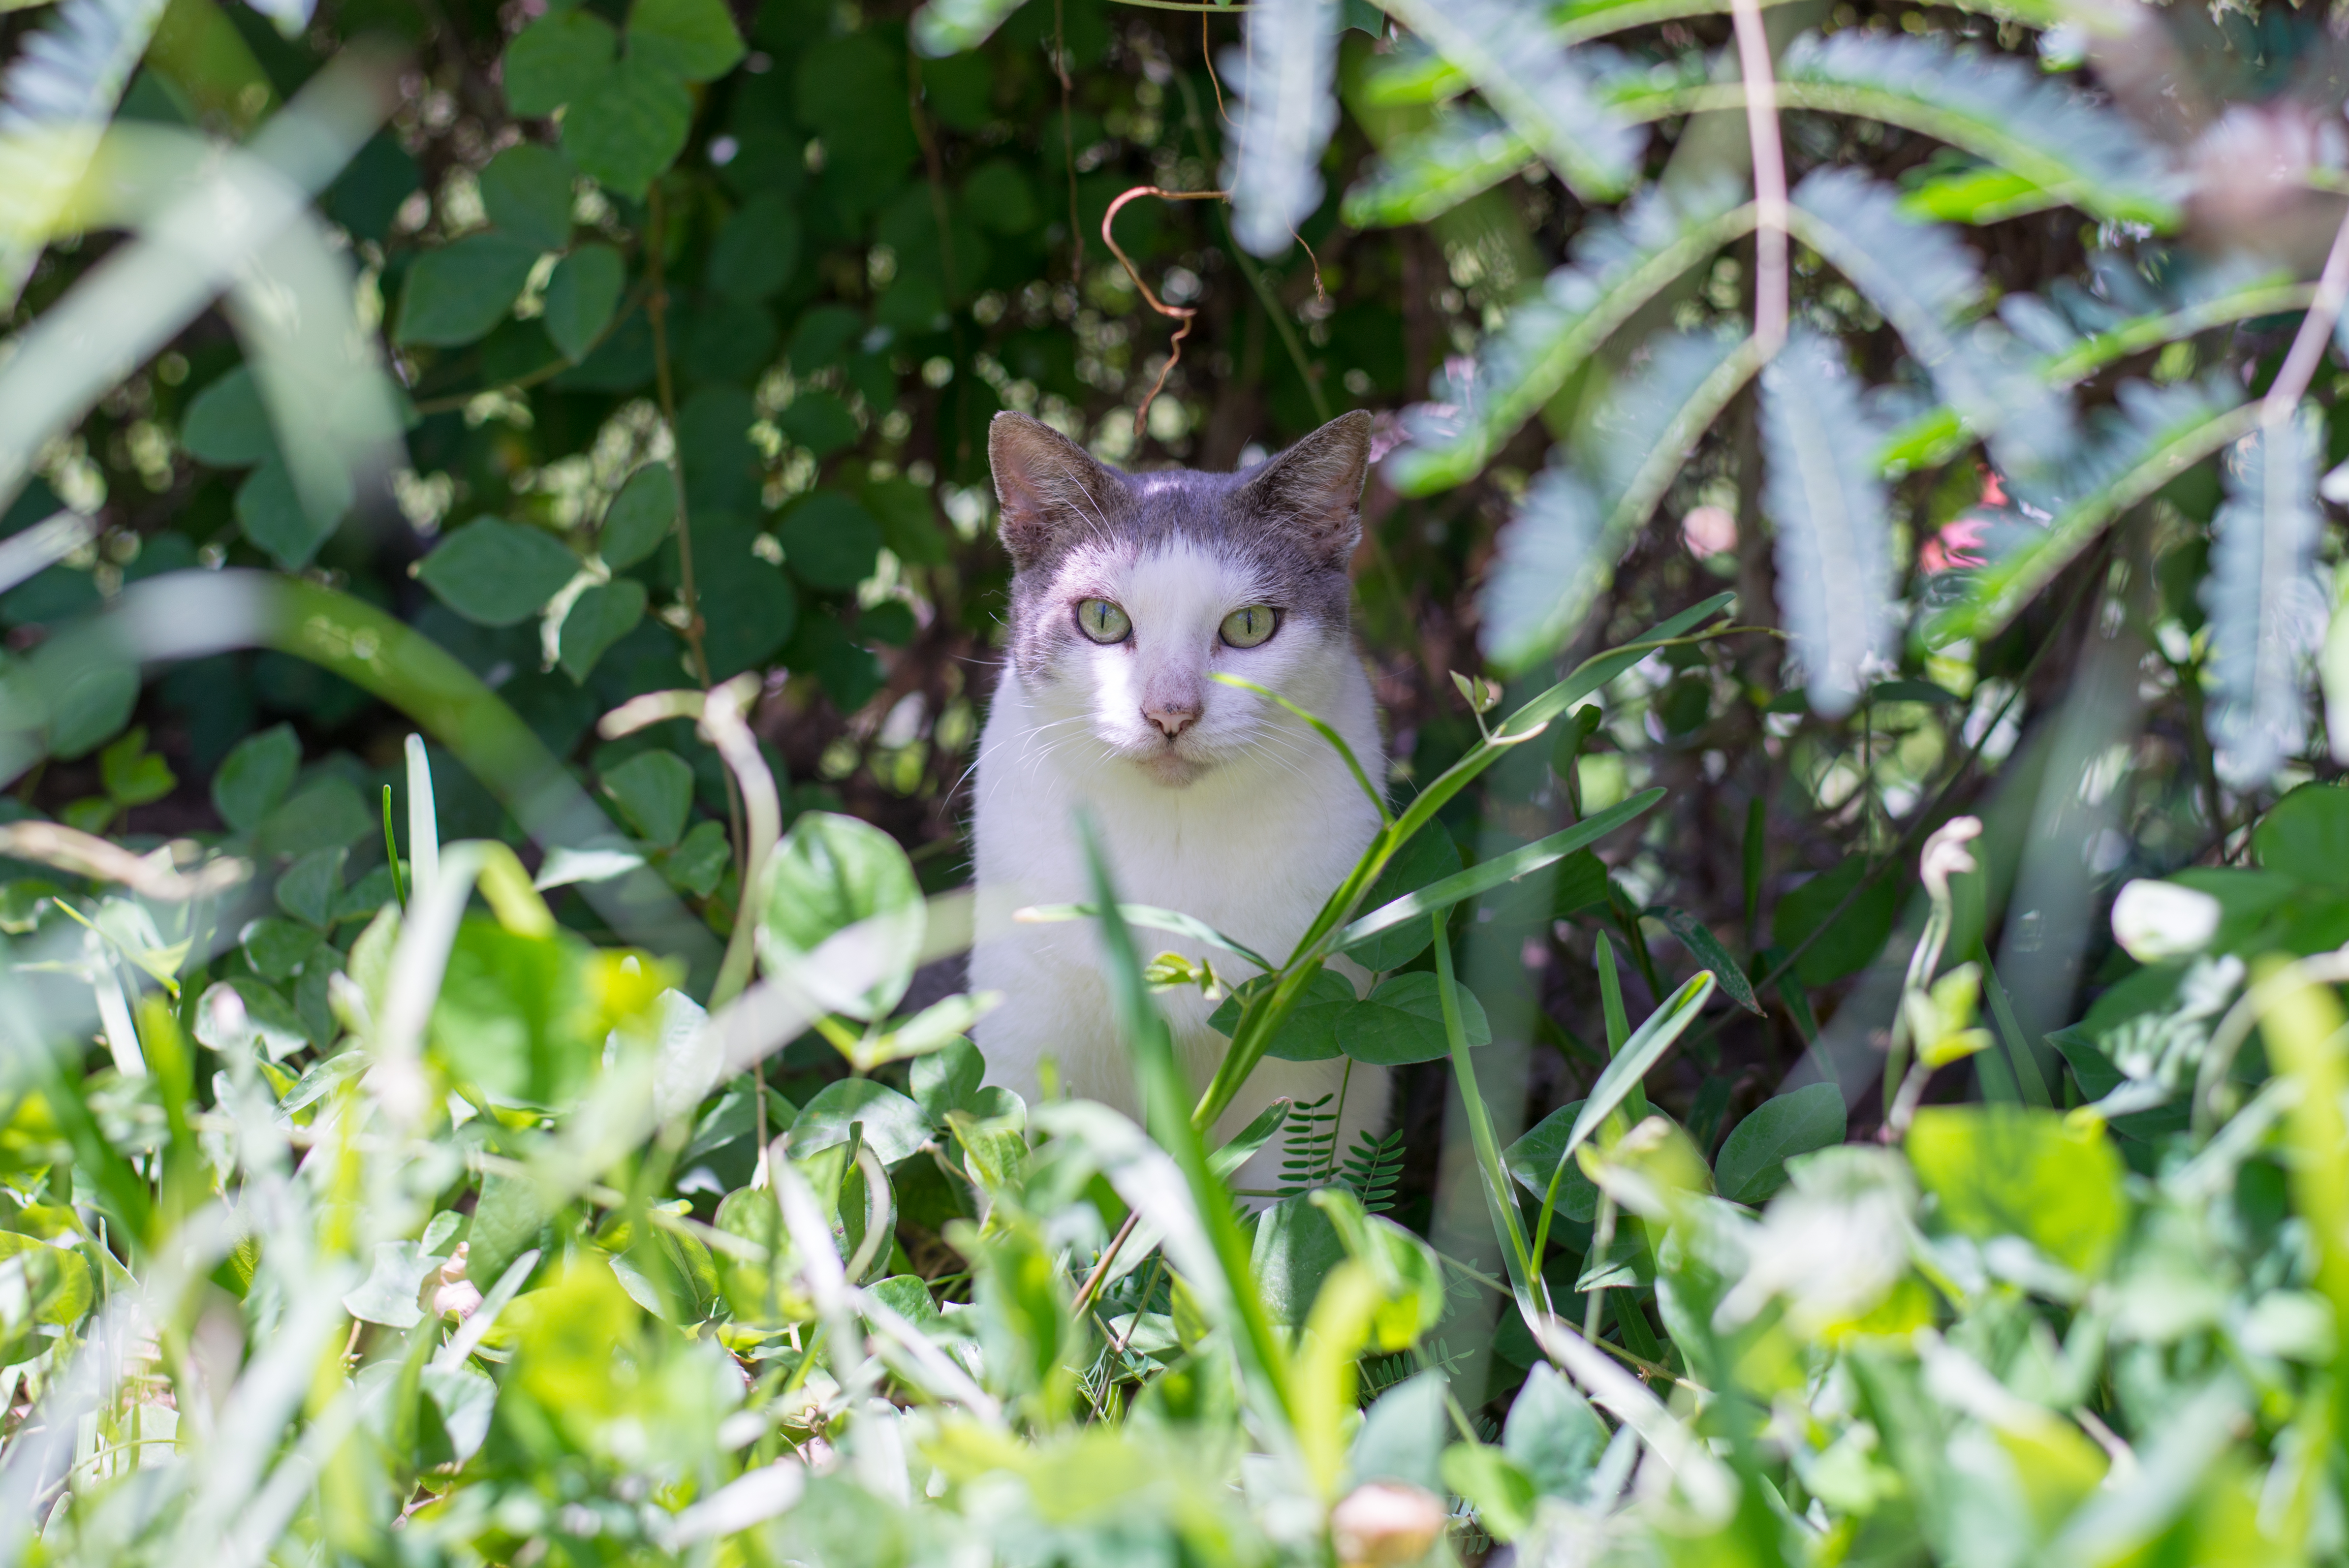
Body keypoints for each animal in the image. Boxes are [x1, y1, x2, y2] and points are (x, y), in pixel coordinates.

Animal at [963, 410, 1381, 1192]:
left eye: (1249, 626)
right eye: (1102, 619)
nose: (1170, 712)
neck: (1175, 835)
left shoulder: (1304, 1055)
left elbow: (1293, 1199)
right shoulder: (1028, 1036)